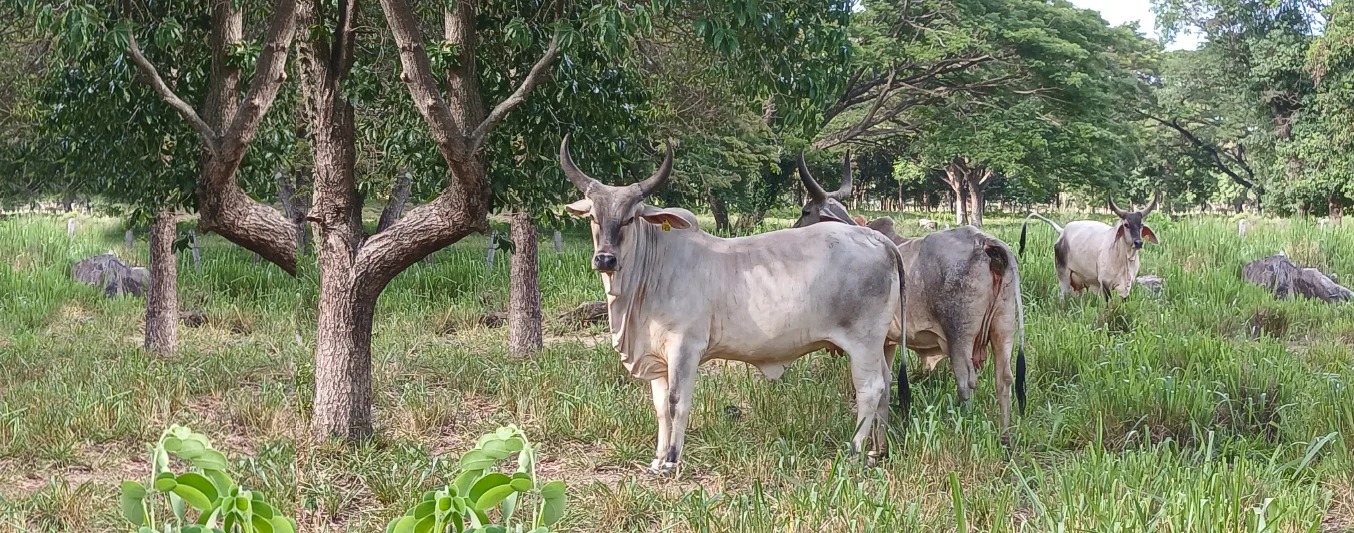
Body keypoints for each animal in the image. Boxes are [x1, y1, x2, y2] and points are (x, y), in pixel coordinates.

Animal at [559, 136, 908, 473]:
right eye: (593, 217)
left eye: (630, 218)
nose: (605, 259)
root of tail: (878, 239)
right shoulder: (656, 357)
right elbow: (659, 408)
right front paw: (657, 459)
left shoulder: (685, 348)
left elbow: (676, 402)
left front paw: (672, 460)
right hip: (877, 345)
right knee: (887, 383)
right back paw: (878, 449)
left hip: (863, 341)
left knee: (871, 388)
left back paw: (856, 449)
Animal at [795, 158, 1028, 443]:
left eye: (806, 211)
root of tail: (985, 242)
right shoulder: (888, 341)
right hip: (1003, 326)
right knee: (1004, 379)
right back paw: (1006, 440)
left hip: (959, 335)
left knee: (966, 381)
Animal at [1019, 196, 1159, 301]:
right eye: (1126, 225)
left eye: (1141, 225)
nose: (1138, 242)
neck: (1124, 258)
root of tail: (1063, 231)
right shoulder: (1104, 284)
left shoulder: (1126, 288)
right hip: (1063, 275)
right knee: (1063, 296)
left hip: (1078, 283)